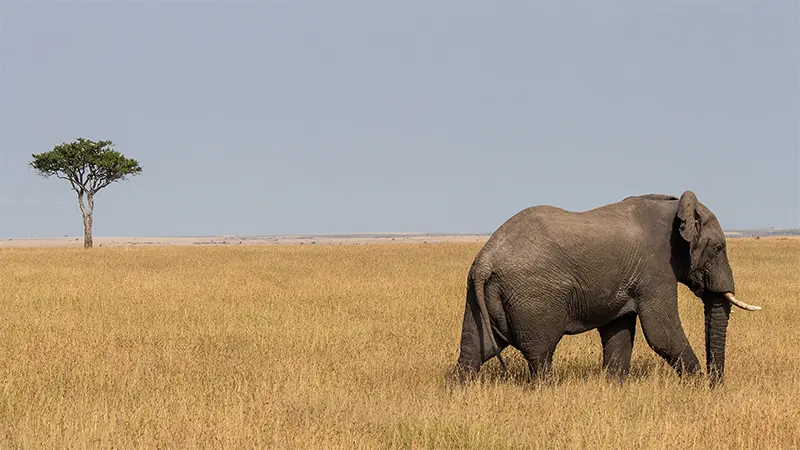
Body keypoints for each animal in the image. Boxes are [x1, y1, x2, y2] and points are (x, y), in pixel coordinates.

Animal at [455, 190, 761, 386]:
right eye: (718, 248)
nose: (716, 385)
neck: (676, 208)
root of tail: (486, 259)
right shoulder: (656, 268)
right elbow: (661, 332)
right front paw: (698, 388)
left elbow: (619, 331)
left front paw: (614, 386)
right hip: (533, 296)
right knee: (540, 355)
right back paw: (546, 390)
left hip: (480, 295)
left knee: (474, 350)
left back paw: (459, 388)